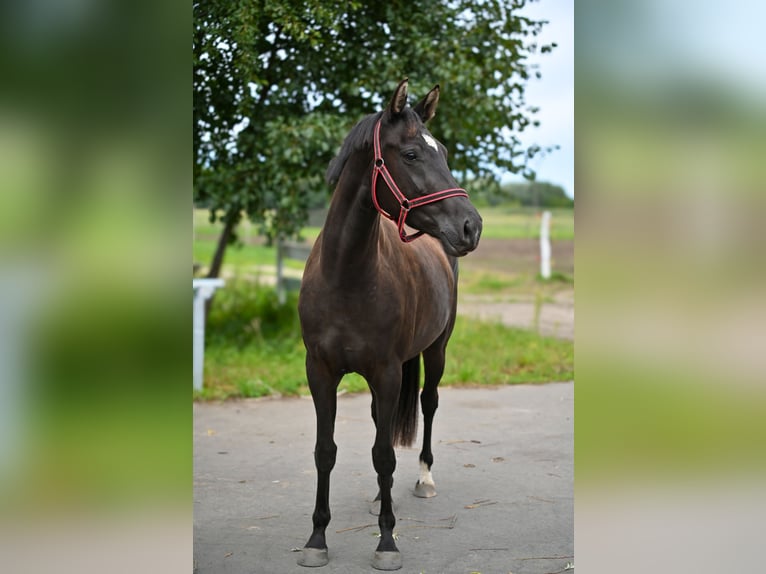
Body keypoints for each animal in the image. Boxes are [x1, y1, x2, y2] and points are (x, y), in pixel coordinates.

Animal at [297, 78, 482, 571]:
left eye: (445, 154)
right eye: (413, 154)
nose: (471, 226)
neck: (346, 273)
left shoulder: (386, 372)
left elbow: (383, 454)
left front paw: (386, 542)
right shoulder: (320, 371)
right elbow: (325, 451)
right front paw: (317, 539)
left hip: (435, 351)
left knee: (429, 403)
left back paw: (423, 481)